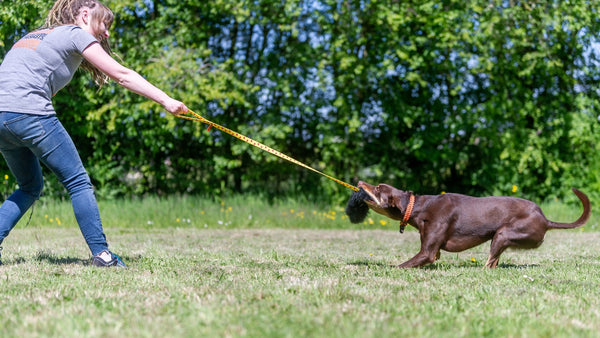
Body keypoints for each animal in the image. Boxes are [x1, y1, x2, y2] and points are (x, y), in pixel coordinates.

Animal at [356, 181, 592, 268]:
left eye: (378, 188)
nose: (359, 182)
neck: (419, 207)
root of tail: (545, 219)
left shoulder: (427, 253)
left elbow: (401, 265)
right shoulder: (433, 251)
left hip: (503, 234)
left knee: (490, 263)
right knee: (494, 263)